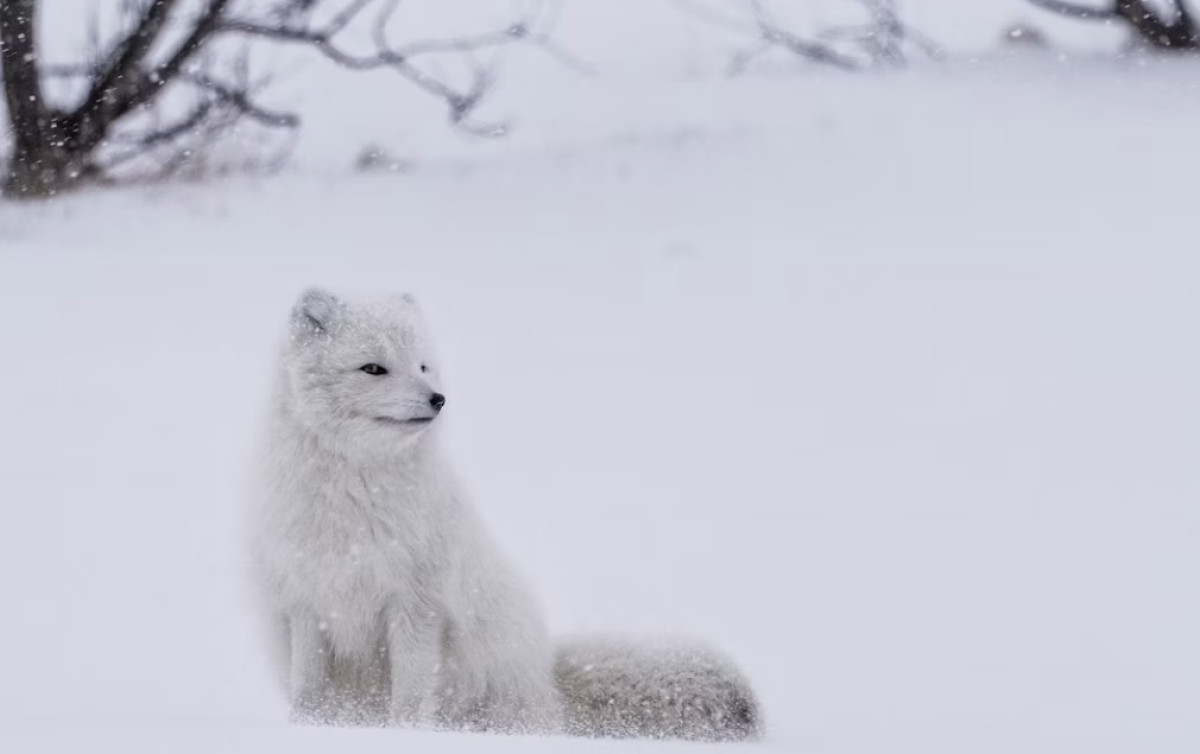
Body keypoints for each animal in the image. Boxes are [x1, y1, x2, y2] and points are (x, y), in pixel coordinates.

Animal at [249, 287, 762, 741]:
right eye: (373, 368)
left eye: (422, 365)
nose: (438, 398)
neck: (354, 495)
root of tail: (549, 683)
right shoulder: (306, 602)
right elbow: (309, 689)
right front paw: (308, 730)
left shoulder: (416, 604)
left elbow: (410, 695)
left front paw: (403, 736)